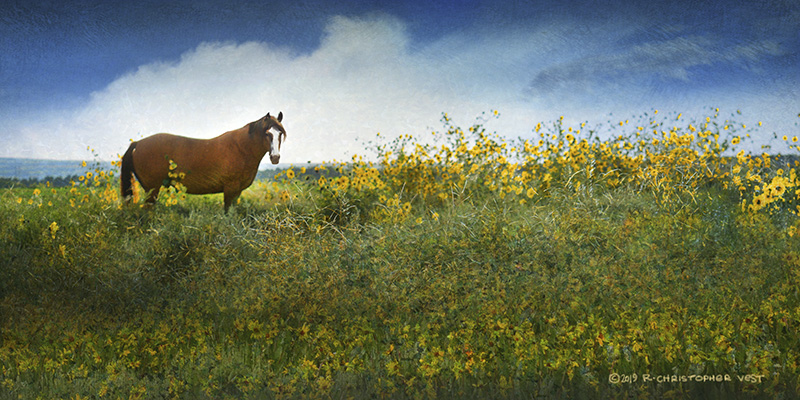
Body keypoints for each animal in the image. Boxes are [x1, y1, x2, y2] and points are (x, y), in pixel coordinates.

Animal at [120, 112, 286, 212]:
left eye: (280, 134)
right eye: (267, 133)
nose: (275, 157)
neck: (241, 148)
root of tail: (137, 144)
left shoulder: (237, 191)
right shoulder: (230, 189)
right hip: (152, 188)